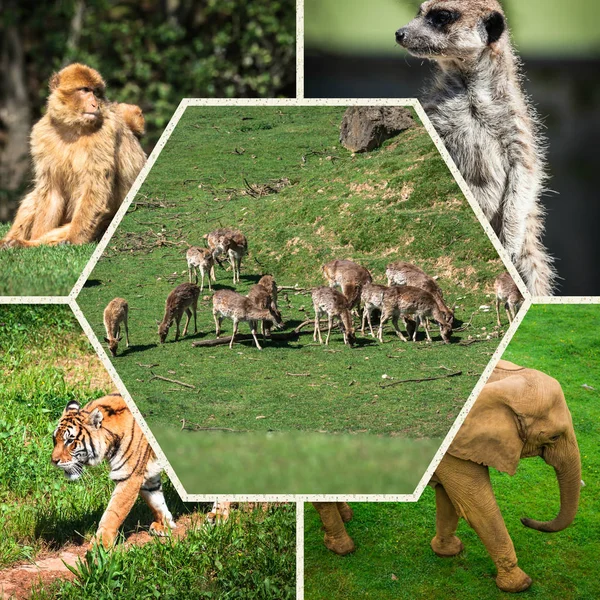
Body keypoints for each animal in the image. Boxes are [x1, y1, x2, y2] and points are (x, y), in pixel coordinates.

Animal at [1, 63, 147, 246]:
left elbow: (94, 187)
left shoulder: (104, 134)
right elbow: (51, 191)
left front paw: (70, 239)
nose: (95, 104)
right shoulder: (42, 133)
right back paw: (12, 240)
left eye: (96, 92)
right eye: (84, 90)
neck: (72, 127)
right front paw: (34, 238)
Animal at [51, 394, 176, 548]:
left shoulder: (129, 476)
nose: (53, 460)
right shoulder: (146, 474)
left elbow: (113, 512)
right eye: (54, 439)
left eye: (70, 441)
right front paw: (164, 525)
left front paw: (100, 545)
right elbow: (156, 500)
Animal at [314, 358, 580, 592]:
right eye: (554, 437)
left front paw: (448, 551)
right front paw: (520, 585)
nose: (524, 519)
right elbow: (477, 507)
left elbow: (450, 498)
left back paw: (346, 516)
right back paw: (340, 548)